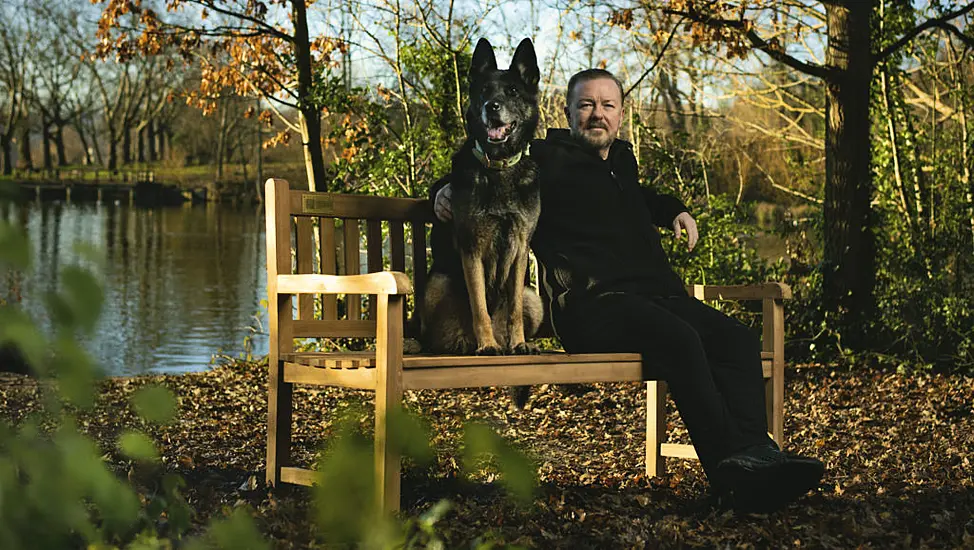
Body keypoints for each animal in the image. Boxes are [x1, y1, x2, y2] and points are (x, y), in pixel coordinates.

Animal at [418, 37, 544, 362]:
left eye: (512, 91)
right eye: (485, 90)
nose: (492, 107)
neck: (498, 167)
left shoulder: (520, 249)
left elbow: (513, 309)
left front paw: (519, 342)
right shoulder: (471, 248)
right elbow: (479, 306)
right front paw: (486, 344)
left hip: (533, 297)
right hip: (438, 281)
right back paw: (466, 343)